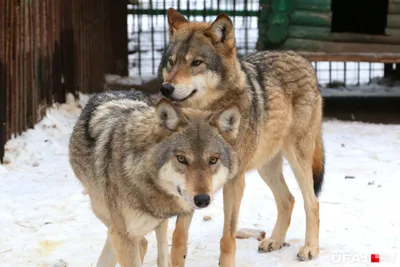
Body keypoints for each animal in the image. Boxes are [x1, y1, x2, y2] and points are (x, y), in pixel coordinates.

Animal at [68, 90, 241, 267]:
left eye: (213, 160)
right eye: (181, 159)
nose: (202, 200)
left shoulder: (152, 224)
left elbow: (163, 257)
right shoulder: (123, 235)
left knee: (150, 246)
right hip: (103, 212)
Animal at [156, 8, 324, 267]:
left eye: (196, 63)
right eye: (171, 63)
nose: (166, 88)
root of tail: (302, 58)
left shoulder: (234, 180)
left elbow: (228, 236)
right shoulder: (187, 176)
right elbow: (179, 235)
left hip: (298, 160)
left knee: (312, 202)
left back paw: (310, 248)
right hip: (266, 166)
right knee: (288, 200)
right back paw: (274, 241)